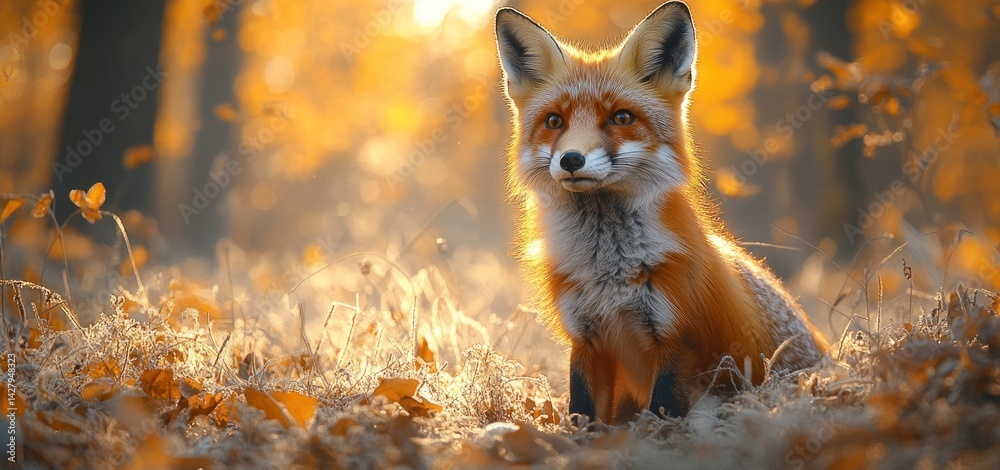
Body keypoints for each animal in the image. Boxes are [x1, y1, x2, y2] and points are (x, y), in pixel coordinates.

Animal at [493, 1, 830, 424]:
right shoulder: (586, 341)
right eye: (554, 121)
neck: (609, 273)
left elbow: (663, 417)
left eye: (621, 117)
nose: (571, 160)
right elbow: (583, 416)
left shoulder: (676, 339)